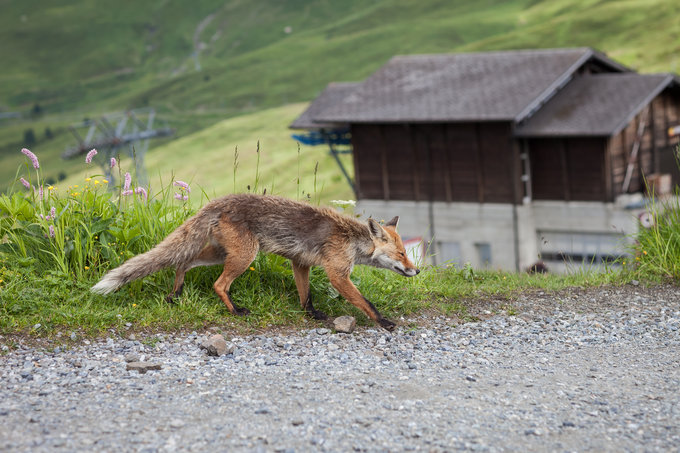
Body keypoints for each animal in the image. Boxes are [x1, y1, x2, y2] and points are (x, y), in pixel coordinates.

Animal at [91, 192, 420, 330]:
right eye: (401, 253)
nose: (417, 270)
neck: (352, 240)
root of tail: (218, 202)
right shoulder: (338, 274)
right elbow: (366, 303)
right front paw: (384, 322)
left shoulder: (300, 263)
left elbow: (306, 296)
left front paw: (313, 315)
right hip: (243, 256)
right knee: (218, 284)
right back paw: (236, 310)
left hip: (222, 254)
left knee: (182, 262)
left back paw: (176, 294)